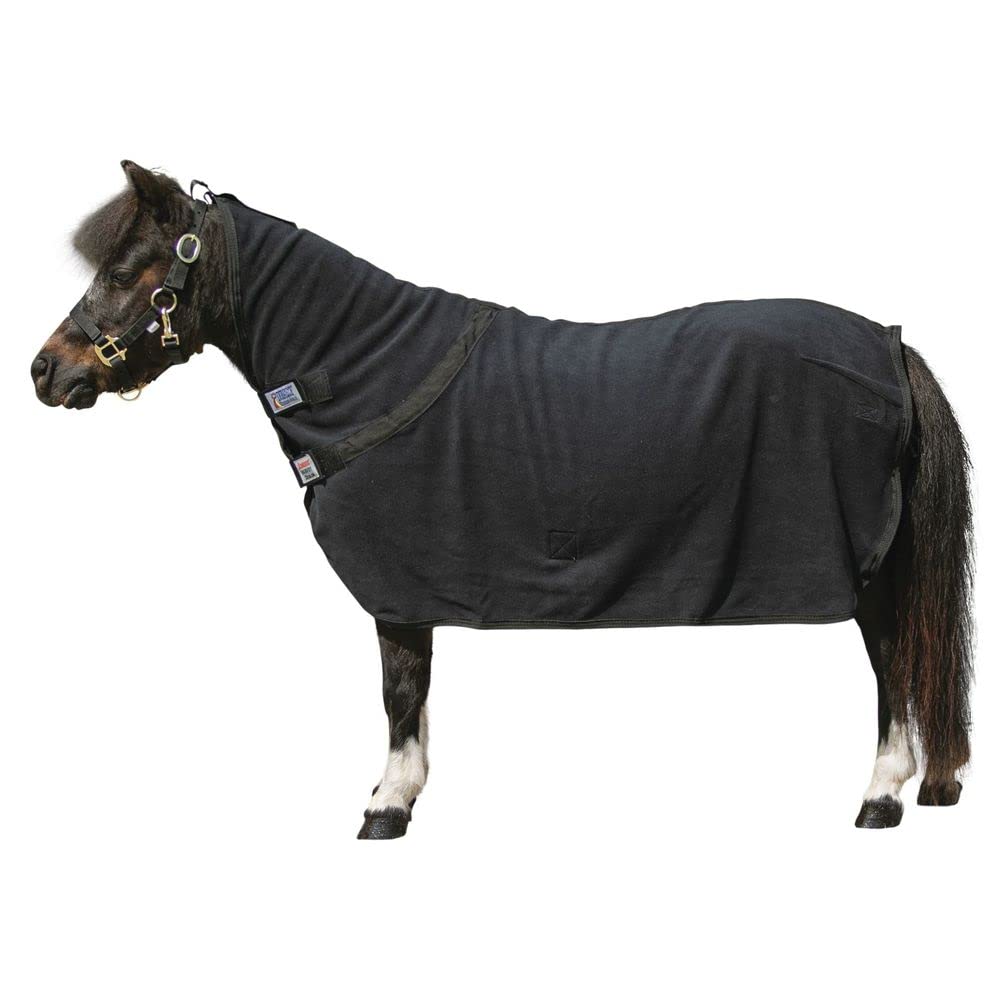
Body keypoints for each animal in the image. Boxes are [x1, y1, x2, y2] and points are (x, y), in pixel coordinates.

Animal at [31, 161, 974, 839]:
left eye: (129, 269)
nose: (46, 370)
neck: (371, 369)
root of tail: (890, 346)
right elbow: (411, 695)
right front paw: (396, 791)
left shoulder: (397, 585)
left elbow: (400, 691)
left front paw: (388, 807)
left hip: (868, 571)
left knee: (894, 663)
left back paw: (880, 797)